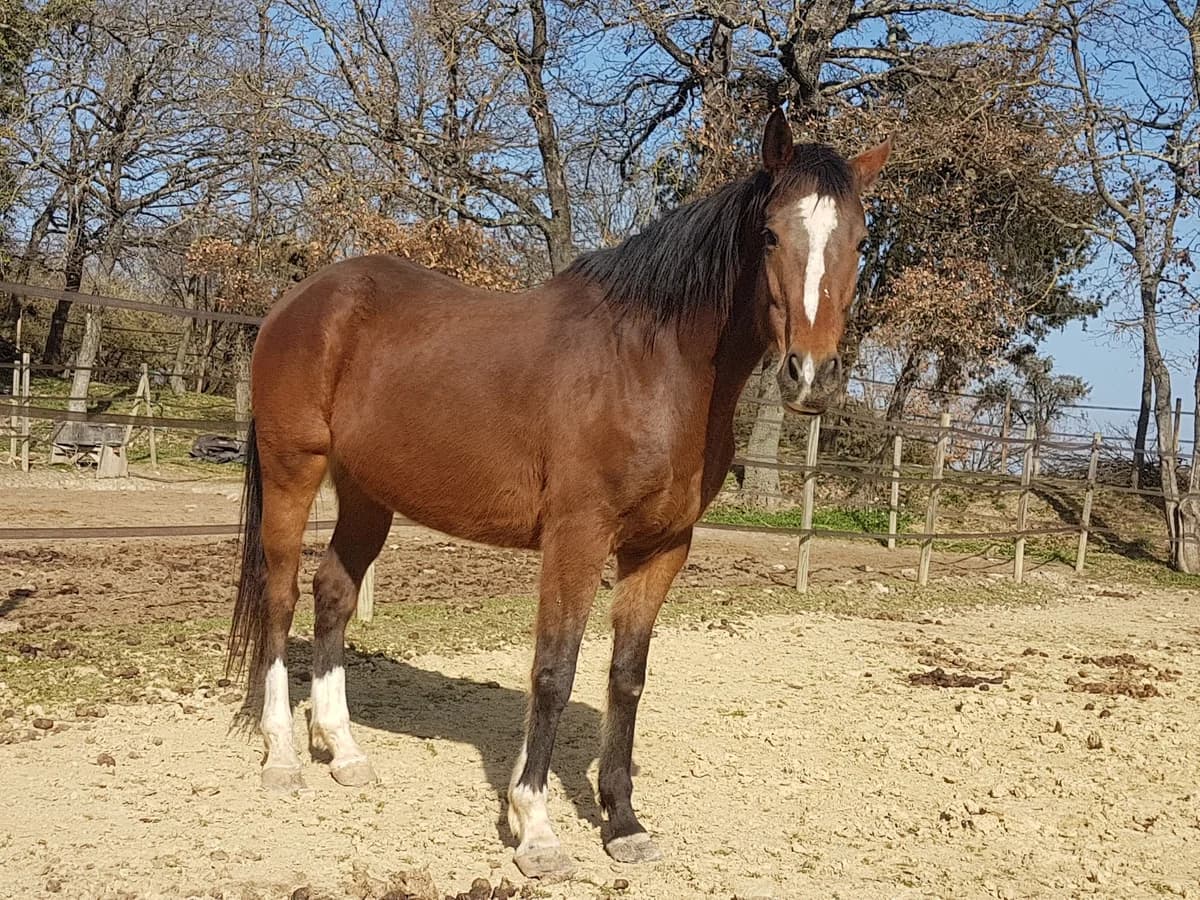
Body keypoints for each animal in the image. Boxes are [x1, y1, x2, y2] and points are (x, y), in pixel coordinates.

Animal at [227, 109, 890, 878]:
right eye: (771, 234)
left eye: (860, 240)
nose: (810, 375)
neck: (651, 365)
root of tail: (300, 301)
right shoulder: (577, 536)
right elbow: (554, 670)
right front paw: (536, 830)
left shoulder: (661, 546)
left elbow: (626, 676)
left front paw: (623, 823)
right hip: (293, 470)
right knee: (280, 595)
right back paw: (282, 758)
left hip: (368, 491)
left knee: (333, 591)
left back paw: (344, 751)